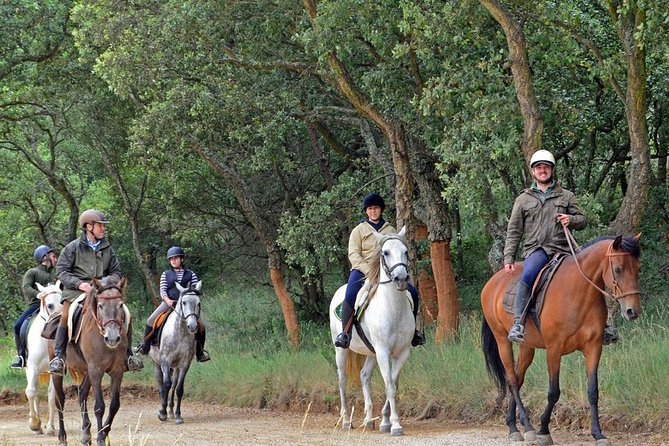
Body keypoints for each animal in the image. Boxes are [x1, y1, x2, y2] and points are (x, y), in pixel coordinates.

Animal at [24, 282, 63, 436]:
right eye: (50, 305)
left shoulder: (54, 370)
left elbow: (52, 396)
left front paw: (50, 427)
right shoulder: (33, 368)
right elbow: (31, 392)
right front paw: (34, 424)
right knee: (34, 392)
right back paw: (37, 426)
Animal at [51, 276, 130, 446]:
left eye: (121, 305)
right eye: (100, 306)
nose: (112, 338)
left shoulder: (117, 371)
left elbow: (114, 405)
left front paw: (104, 433)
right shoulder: (96, 371)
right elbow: (99, 406)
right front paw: (100, 438)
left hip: (87, 371)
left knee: (82, 394)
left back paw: (86, 434)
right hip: (57, 373)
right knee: (59, 401)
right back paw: (62, 437)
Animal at [149, 280, 204, 424]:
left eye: (198, 302)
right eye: (183, 302)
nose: (192, 326)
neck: (180, 331)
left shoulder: (184, 364)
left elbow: (179, 389)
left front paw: (178, 415)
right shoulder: (165, 361)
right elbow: (166, 385)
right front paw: (162, 413)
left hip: (176, 367)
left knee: (173, 385)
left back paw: (171, 411)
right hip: (157, 363)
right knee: (162, 384)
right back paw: (164, 410)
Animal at [328, 228, 414, 438]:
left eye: (405, 251)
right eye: (386, 253)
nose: (401, 279)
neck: (393, 308)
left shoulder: (402, 352)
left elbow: (393, 383)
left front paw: (385, 421)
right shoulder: (383, 351)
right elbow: (390, 385)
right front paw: (396, 425)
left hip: (371, 353)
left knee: (364, 375)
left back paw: (368, 420)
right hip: (342, 350)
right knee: (342, 380)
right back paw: (346, 421)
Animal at [482, 233, 640, 446]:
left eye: (638, 269)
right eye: (618, 269)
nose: (633, 311)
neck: (578, 293)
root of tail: (492, 282)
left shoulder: (593, 348)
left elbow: (593, 391)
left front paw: (598, 434)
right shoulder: (554, 349)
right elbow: (553, 392)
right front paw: (543, 430)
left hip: (527, 347)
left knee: (518, 377)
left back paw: (513, 426)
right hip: (502, 340)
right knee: (512, 380)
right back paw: (527, 428)